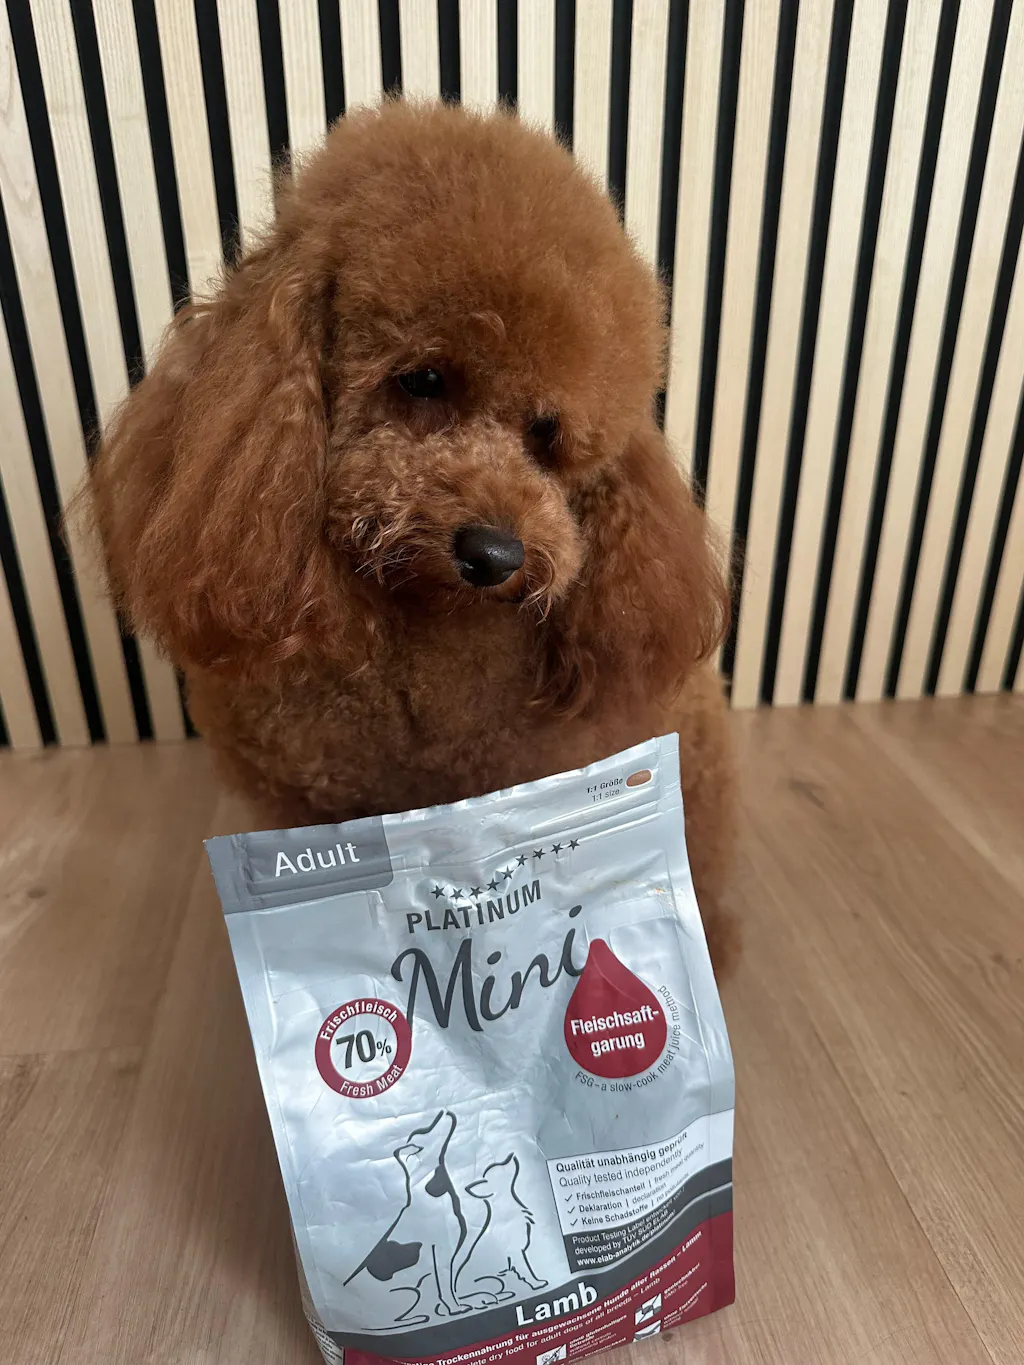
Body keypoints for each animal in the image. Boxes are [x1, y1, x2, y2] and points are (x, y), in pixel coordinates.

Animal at [345, 1110, 472, 1323]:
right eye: (422, 1134)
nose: (442, 1112)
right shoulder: (441, 1255)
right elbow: (446, 1289)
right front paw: (454, 1309)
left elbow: (450, 1289)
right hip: (410, 1293)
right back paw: (420, 1317)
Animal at [457, 1154, 548, 1301]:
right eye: (498, 1168)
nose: (511, 1156)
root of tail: (458, 1296)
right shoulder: (516, 1252)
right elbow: (526, 1270)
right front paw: (537, 1284)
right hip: (493, 1282)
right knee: (484, 1297)